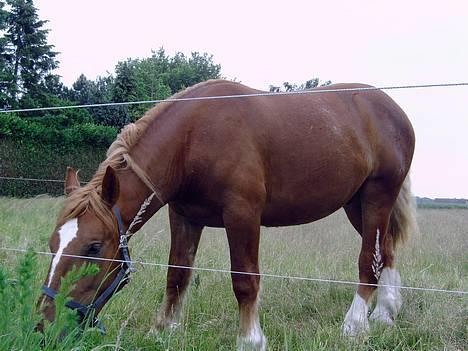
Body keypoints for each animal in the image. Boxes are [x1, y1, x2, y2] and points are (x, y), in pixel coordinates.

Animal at [38, 78, 414, 350]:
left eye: (93, 247)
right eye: (52, 243)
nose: (43, 327)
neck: (192, 139)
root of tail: (394, 111)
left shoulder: (242, 215)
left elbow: (245, 280)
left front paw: (250, 340)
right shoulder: (185, 217)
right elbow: (177, 275)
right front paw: (163, 330)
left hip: (376, 197)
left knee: (368, 262)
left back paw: (355, 324)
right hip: (356, 205)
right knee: (385, 253)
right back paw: (385, 314)